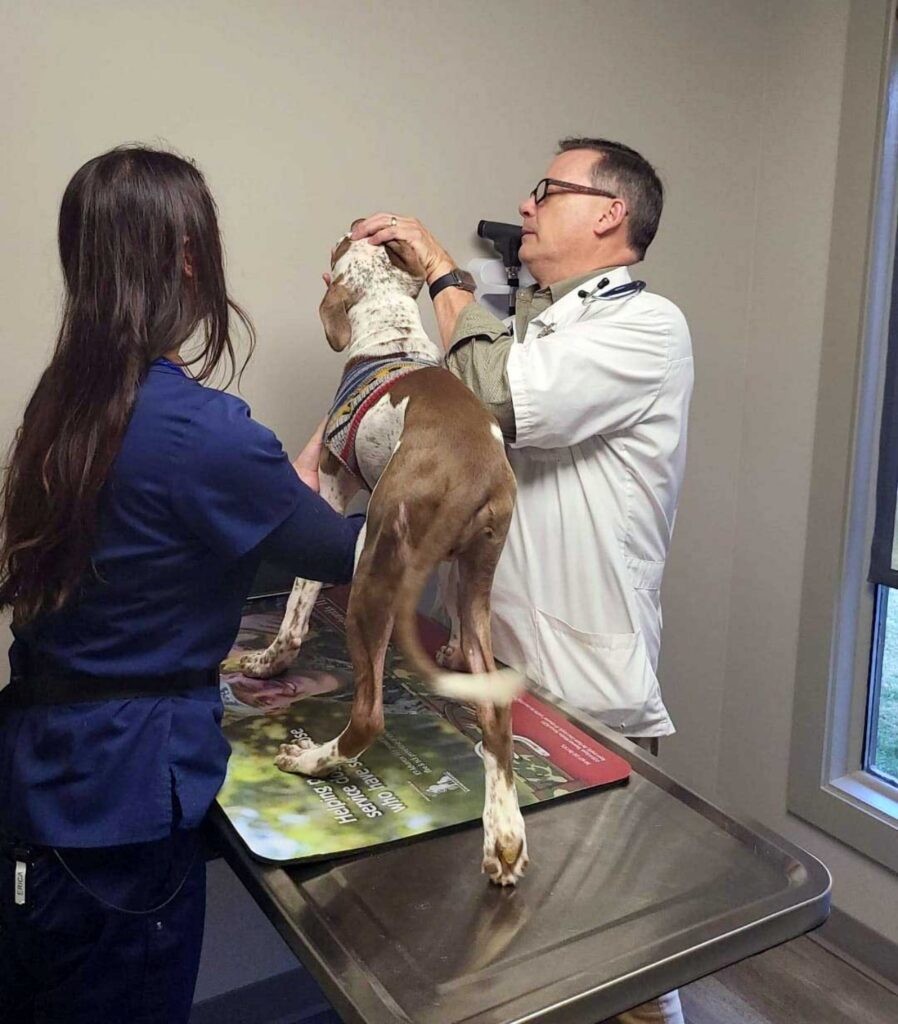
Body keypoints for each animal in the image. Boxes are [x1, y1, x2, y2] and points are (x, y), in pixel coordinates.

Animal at [241, 232, 528, 888]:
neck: (390, 337)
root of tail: (476, 467)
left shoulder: (330, 491)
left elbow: (297, 602)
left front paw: (268, 662)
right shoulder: (449, 566)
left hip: (371, 566)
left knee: (369, 715)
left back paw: (313, 759)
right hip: (476, 574)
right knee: (494, 713)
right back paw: (504, 838)